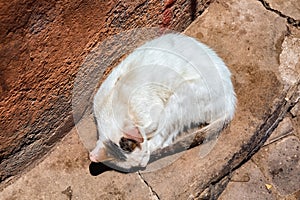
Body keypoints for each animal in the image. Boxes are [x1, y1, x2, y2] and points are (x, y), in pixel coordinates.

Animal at [89, 33, 237, 172]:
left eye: (145, 153)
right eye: (134, 167)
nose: (143, 165)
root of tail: (229, 101)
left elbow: (152, 128)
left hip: (180, 97)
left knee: (164, 136)